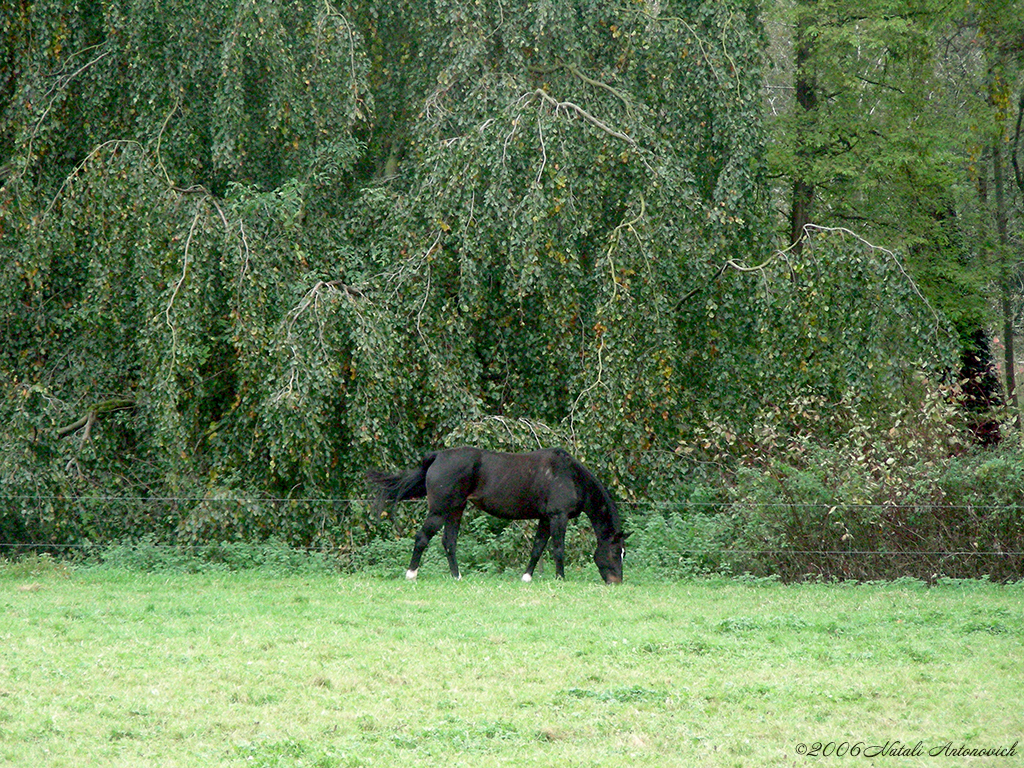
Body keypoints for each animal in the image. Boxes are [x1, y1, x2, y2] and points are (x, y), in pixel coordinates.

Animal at [368, 444, 622, 581]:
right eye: (614, 552)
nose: (616, 582)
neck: (570, 476)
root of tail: (438, 456)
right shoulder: (558, 517)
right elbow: (558, 548)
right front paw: (560, 578)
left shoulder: (545, 518)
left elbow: (537, 548)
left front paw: (526, 577)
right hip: (439, 511)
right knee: (422, 538)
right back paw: (411, 574)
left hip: (455, 509)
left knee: (449, 542)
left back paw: (457, 576)